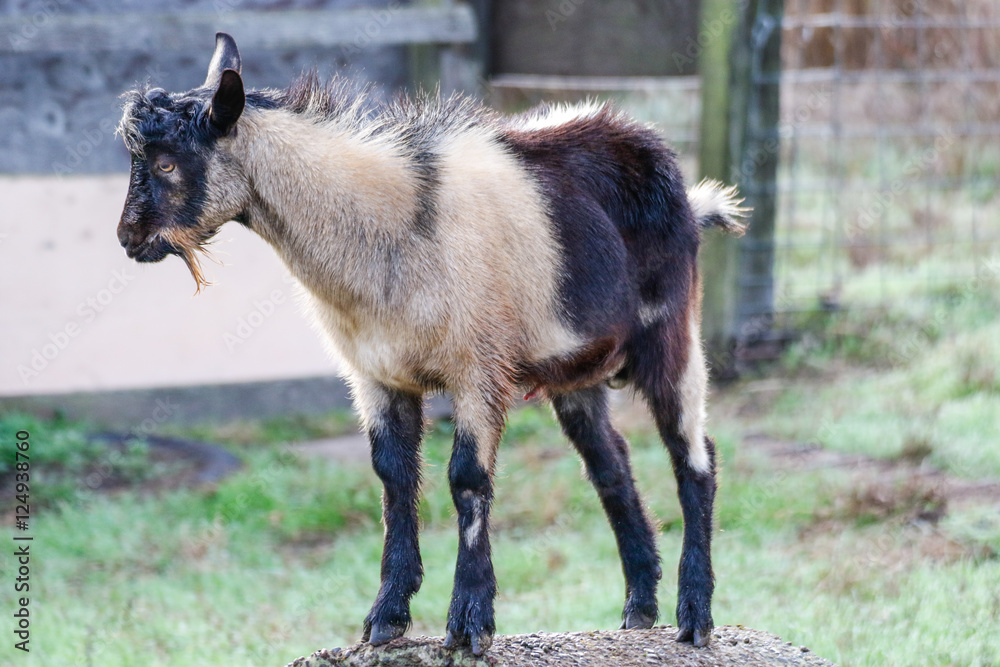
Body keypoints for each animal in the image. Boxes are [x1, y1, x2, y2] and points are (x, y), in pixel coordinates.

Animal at [116, 33, 747, 655]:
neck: (391, 230)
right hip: (577, 370)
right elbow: (394, 480)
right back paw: (639, 608)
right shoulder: (376, 375)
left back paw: (694, 617)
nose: (128, 238)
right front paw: (386, 617)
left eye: (167, 162)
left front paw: (469, 621)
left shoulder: (478, 369)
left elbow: (466, 479)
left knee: (695, 460)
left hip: (672, 337)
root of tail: (688, 197)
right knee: (610, 463)